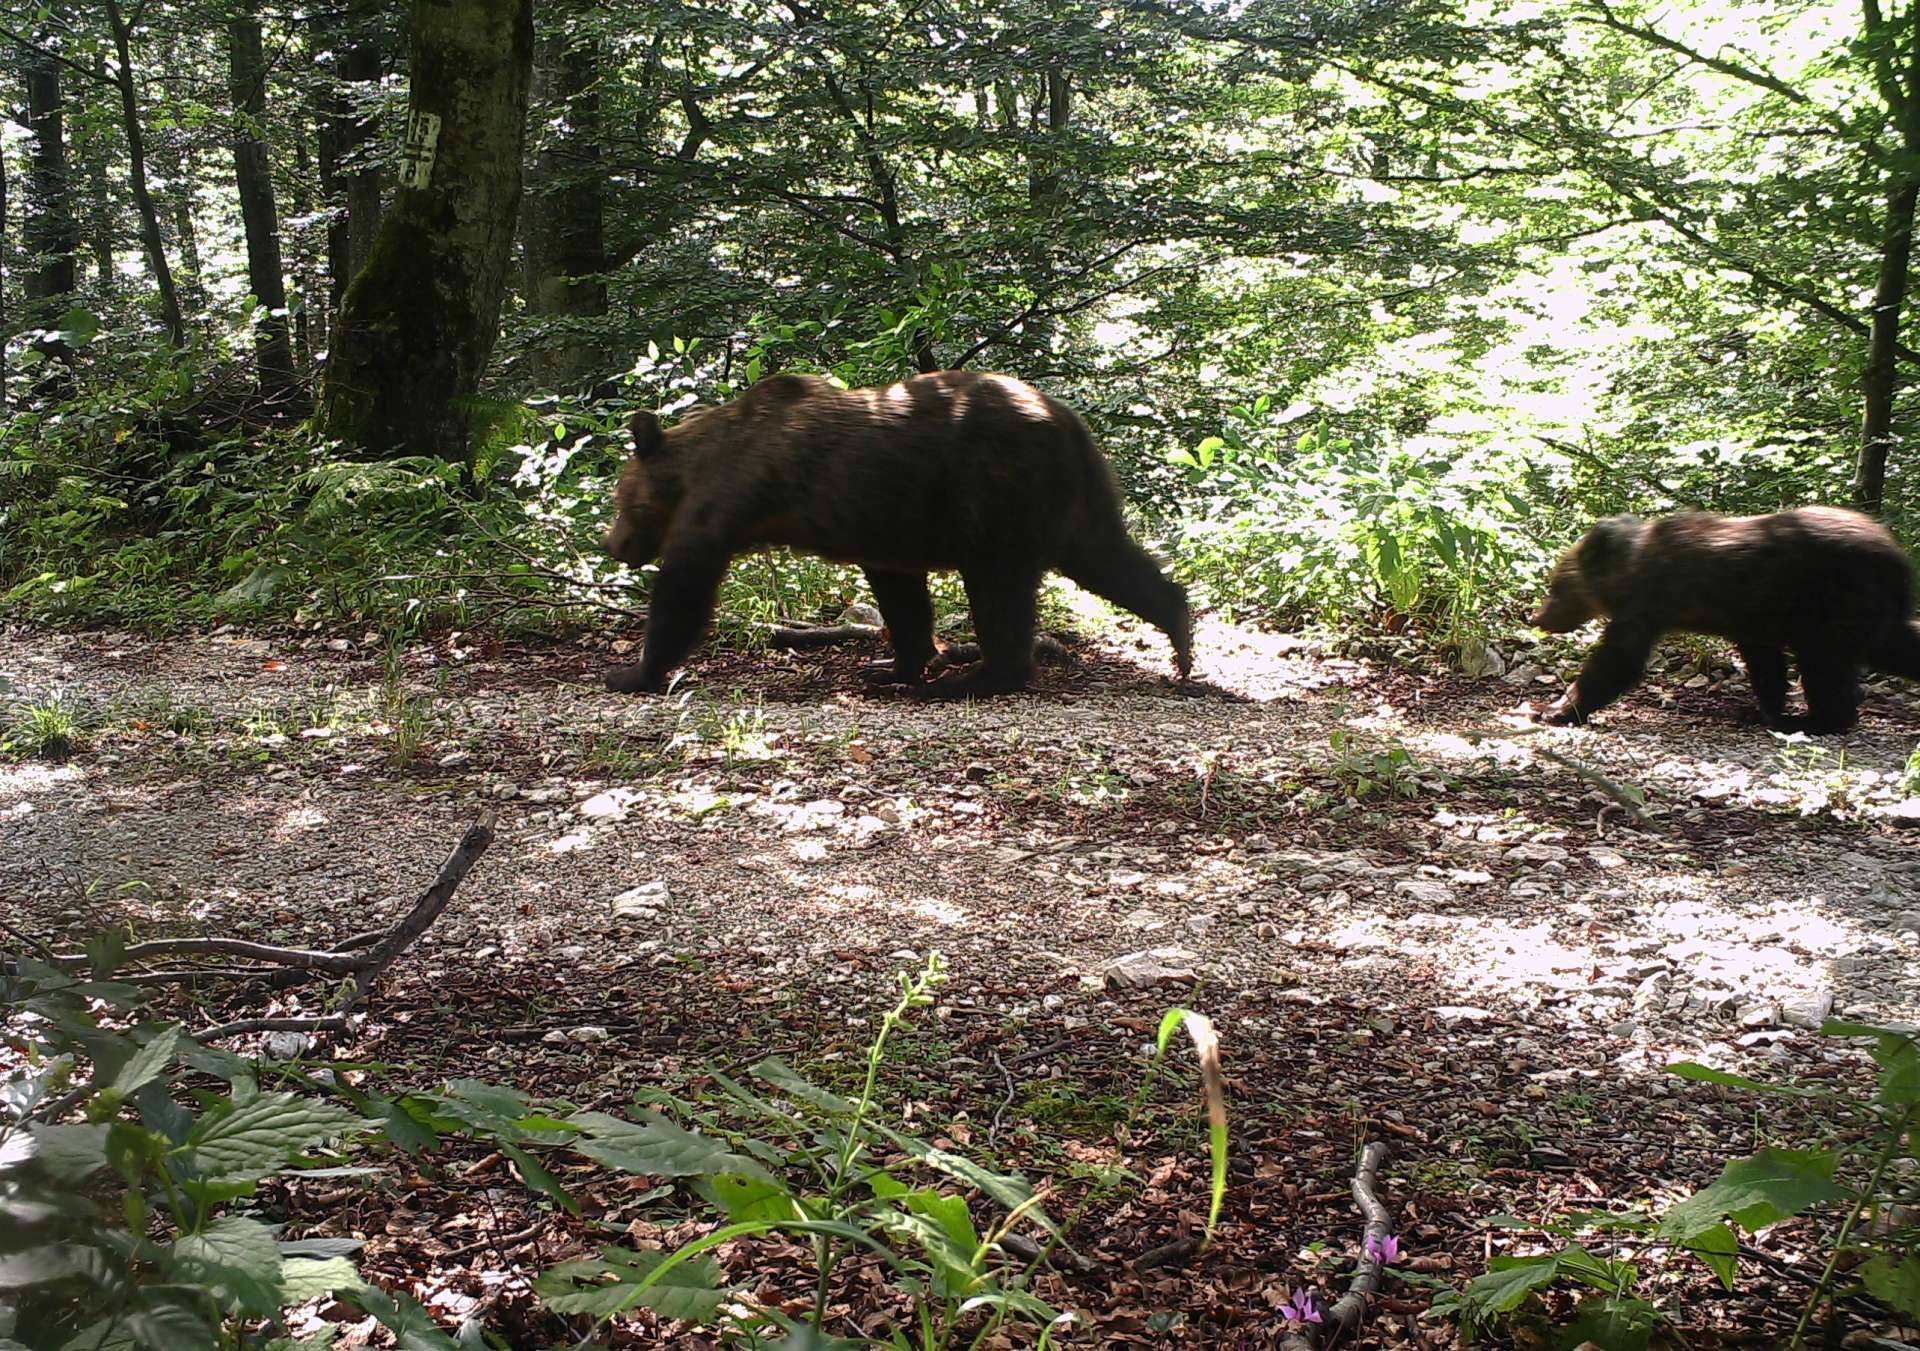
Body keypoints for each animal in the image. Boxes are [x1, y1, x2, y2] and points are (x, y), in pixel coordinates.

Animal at [602, 370, 1193, 698]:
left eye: (620, 500)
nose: (614, 545)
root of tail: (1067, 418)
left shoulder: (728, 502)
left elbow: (685, 587)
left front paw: (632, 672)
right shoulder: (882, 527)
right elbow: (902, 596)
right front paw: (893, 666)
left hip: (997, 489)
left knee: (999, 587)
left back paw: (979, 678)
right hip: (1073, 497)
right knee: (1108, 557)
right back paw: (1181, 639)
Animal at [1531, 506, 1920, 732]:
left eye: (1556, 585)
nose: (1538, 617)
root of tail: (1898, 555)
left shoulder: (1648, 603)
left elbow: (1617, 661)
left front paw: (1555, 708)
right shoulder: (1751, 620)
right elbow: (1765, 665)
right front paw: (1763, 709)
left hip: (1837, 599)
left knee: (1824, 661)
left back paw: (1816, 720)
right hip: (1868, 612)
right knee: (1895, 645)